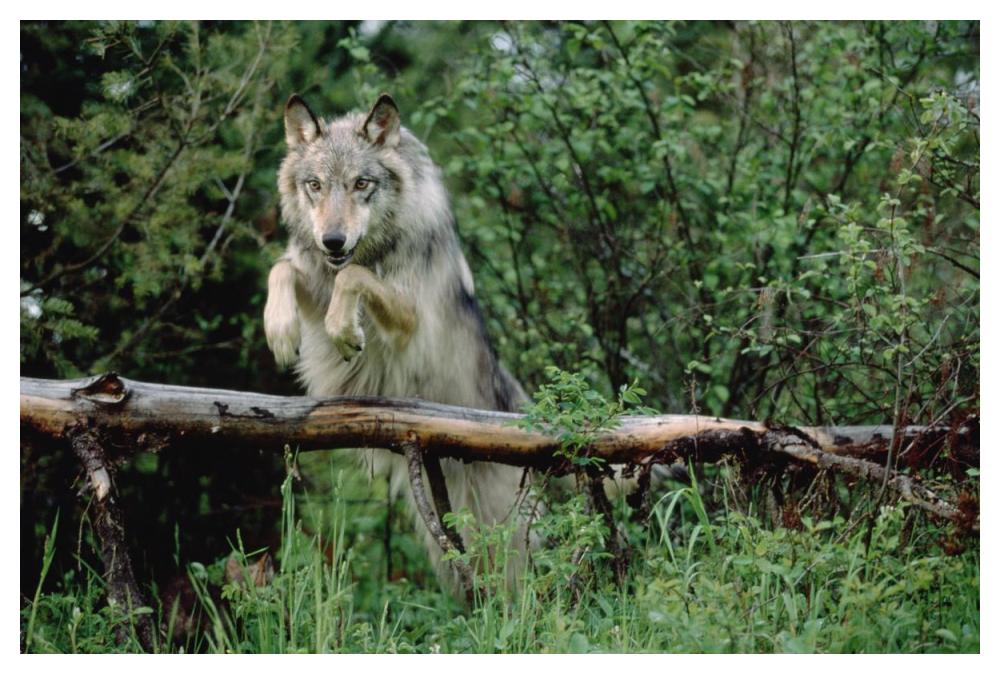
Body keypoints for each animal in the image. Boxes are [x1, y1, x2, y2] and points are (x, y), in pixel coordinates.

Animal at [263, 92, 532, 581]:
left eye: (361, 183)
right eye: (314, 185)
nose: (332, 240)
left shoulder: (410, 321)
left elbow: (352, 275)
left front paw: (345, 329)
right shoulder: (314, 278)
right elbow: (284, 268)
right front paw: (279, 329)